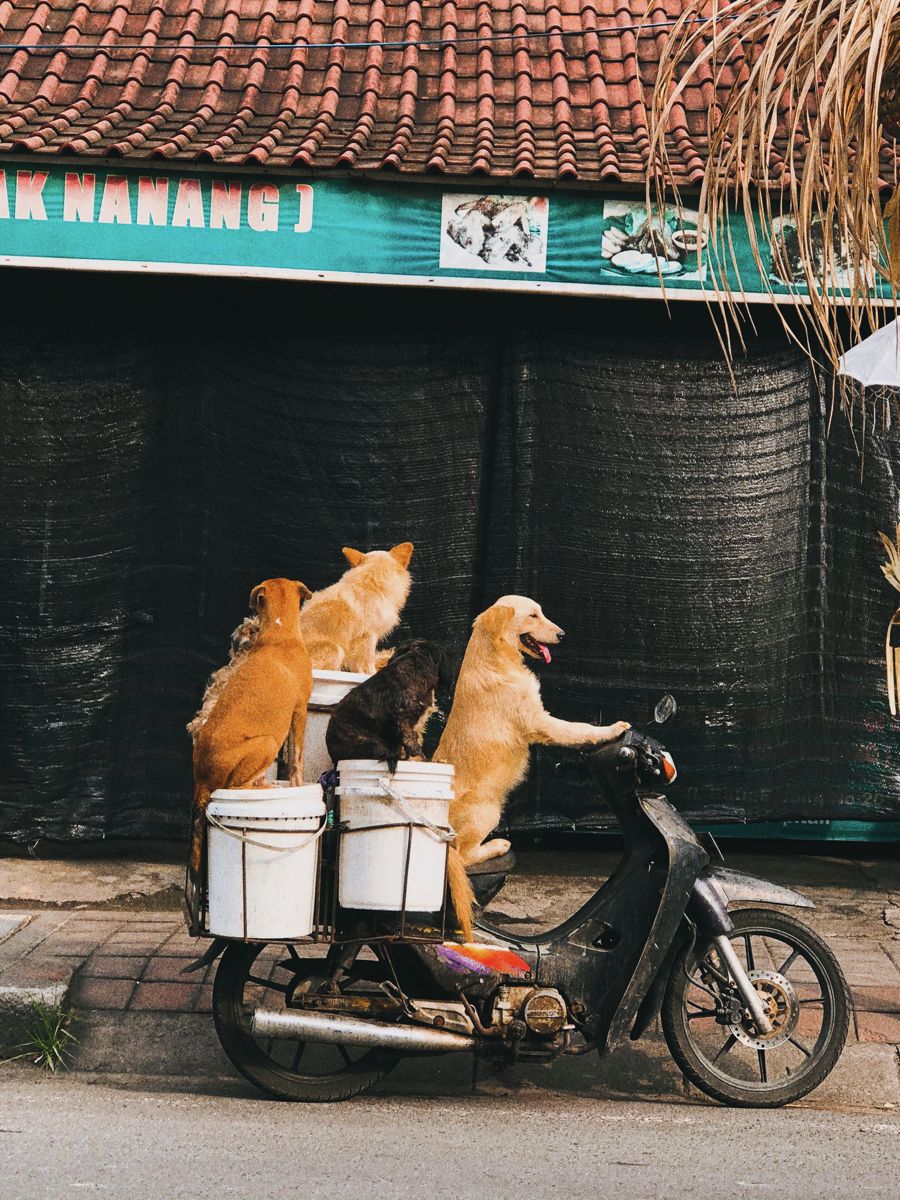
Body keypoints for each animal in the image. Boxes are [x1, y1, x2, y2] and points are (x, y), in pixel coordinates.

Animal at [188, 576, 314, 912]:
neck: (278, 635)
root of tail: (201, 779)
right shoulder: (299, 711)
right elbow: (297, 758)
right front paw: (298, 783)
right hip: (266, 742)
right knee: (236, 786)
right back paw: (263, 786)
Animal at [436, 595, 628, 931]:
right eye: (533, 615)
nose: (563, 634)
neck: (497, 657)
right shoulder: (542, 722)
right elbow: (580, 729)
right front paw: (612, 730)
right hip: (488, 812)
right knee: (465, 855)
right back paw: (498, 845)